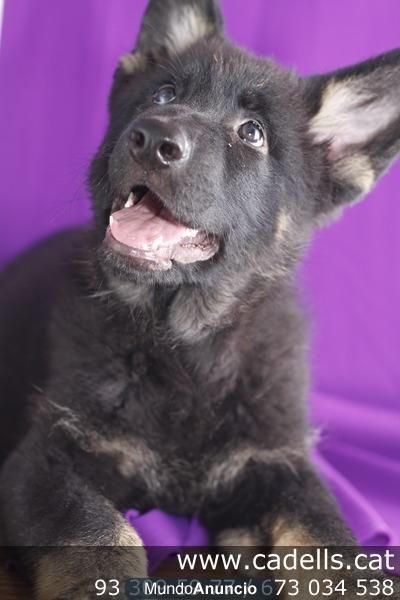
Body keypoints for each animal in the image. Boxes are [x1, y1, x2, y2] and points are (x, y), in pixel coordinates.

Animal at [0, 0, 400, 596]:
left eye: (253, 133)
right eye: (164, 96)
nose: (152, 138)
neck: (185, 346)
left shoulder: (276, 461)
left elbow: (327, 532)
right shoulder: (45, 457)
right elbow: (99, 534)